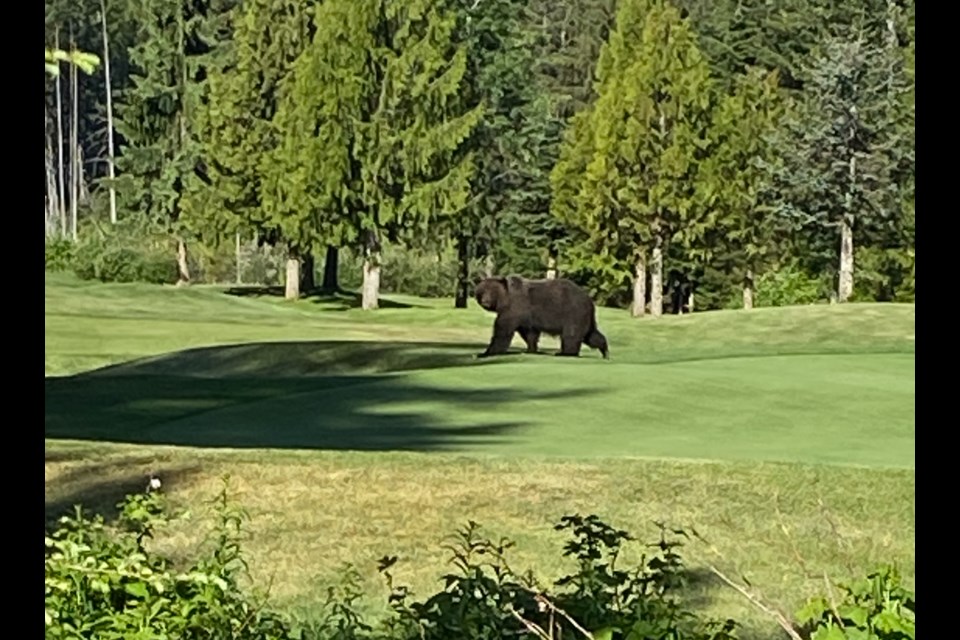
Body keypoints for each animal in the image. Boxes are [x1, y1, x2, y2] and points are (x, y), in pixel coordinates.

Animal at [476, 276, 612, 360]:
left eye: (491, 291)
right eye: (482, 291)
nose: (485, 301)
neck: (505, 299)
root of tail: (589, 300)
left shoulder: (515, 307)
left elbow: (502, 330)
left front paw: (486, 352)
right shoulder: (527, 316)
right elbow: (529, 333)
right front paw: (531, 349)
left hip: (572, 313)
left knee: (571, 335)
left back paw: (564, 353)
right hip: (584, 317)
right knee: (591, 335)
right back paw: (605, 350)